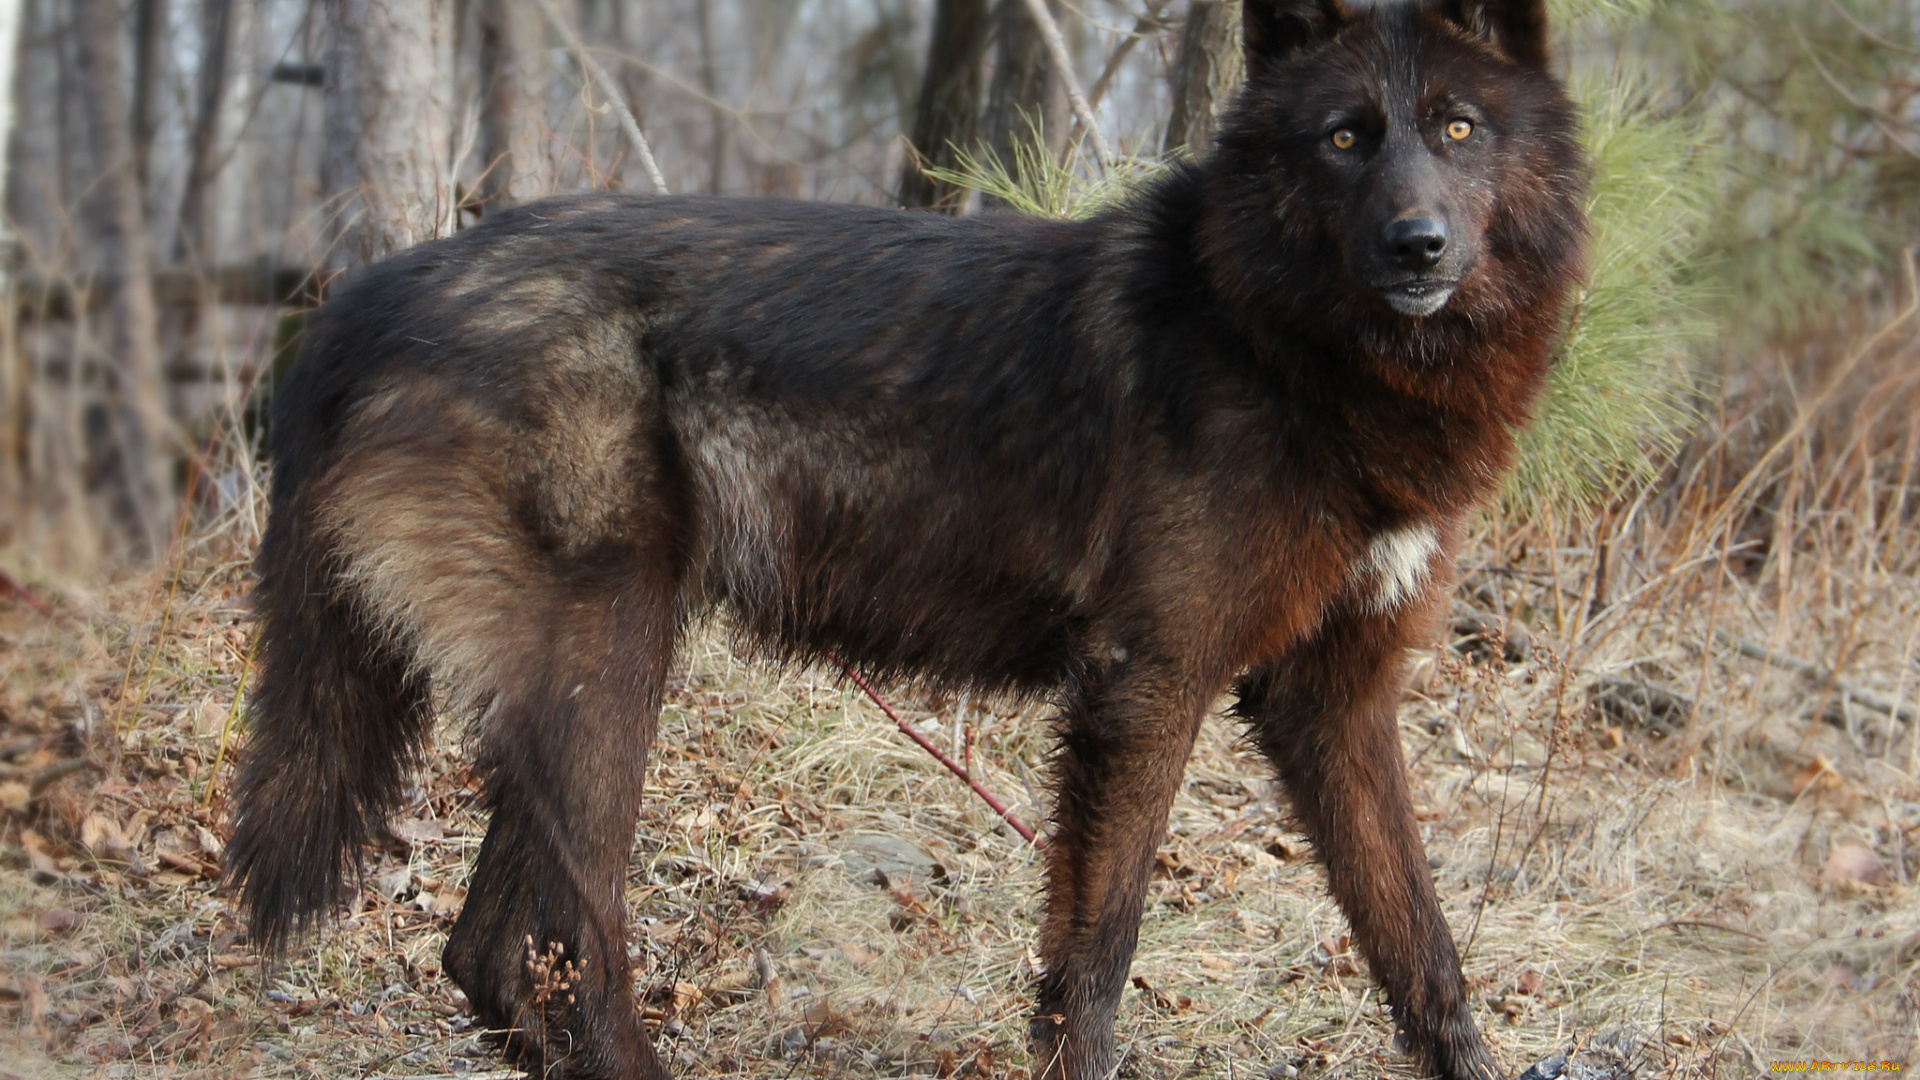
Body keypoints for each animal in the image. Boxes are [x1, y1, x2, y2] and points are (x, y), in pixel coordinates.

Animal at [224, 2, 1582, 1076]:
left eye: (1458, 129)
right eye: (1345, 137)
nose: (1418, 246)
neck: (1284, 335)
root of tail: (370, 294)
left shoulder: (1333, 703)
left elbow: (1424, 953)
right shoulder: (1147, 685)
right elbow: (1096, 962)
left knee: (491, 957)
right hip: (609, 668)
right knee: (543, 948)